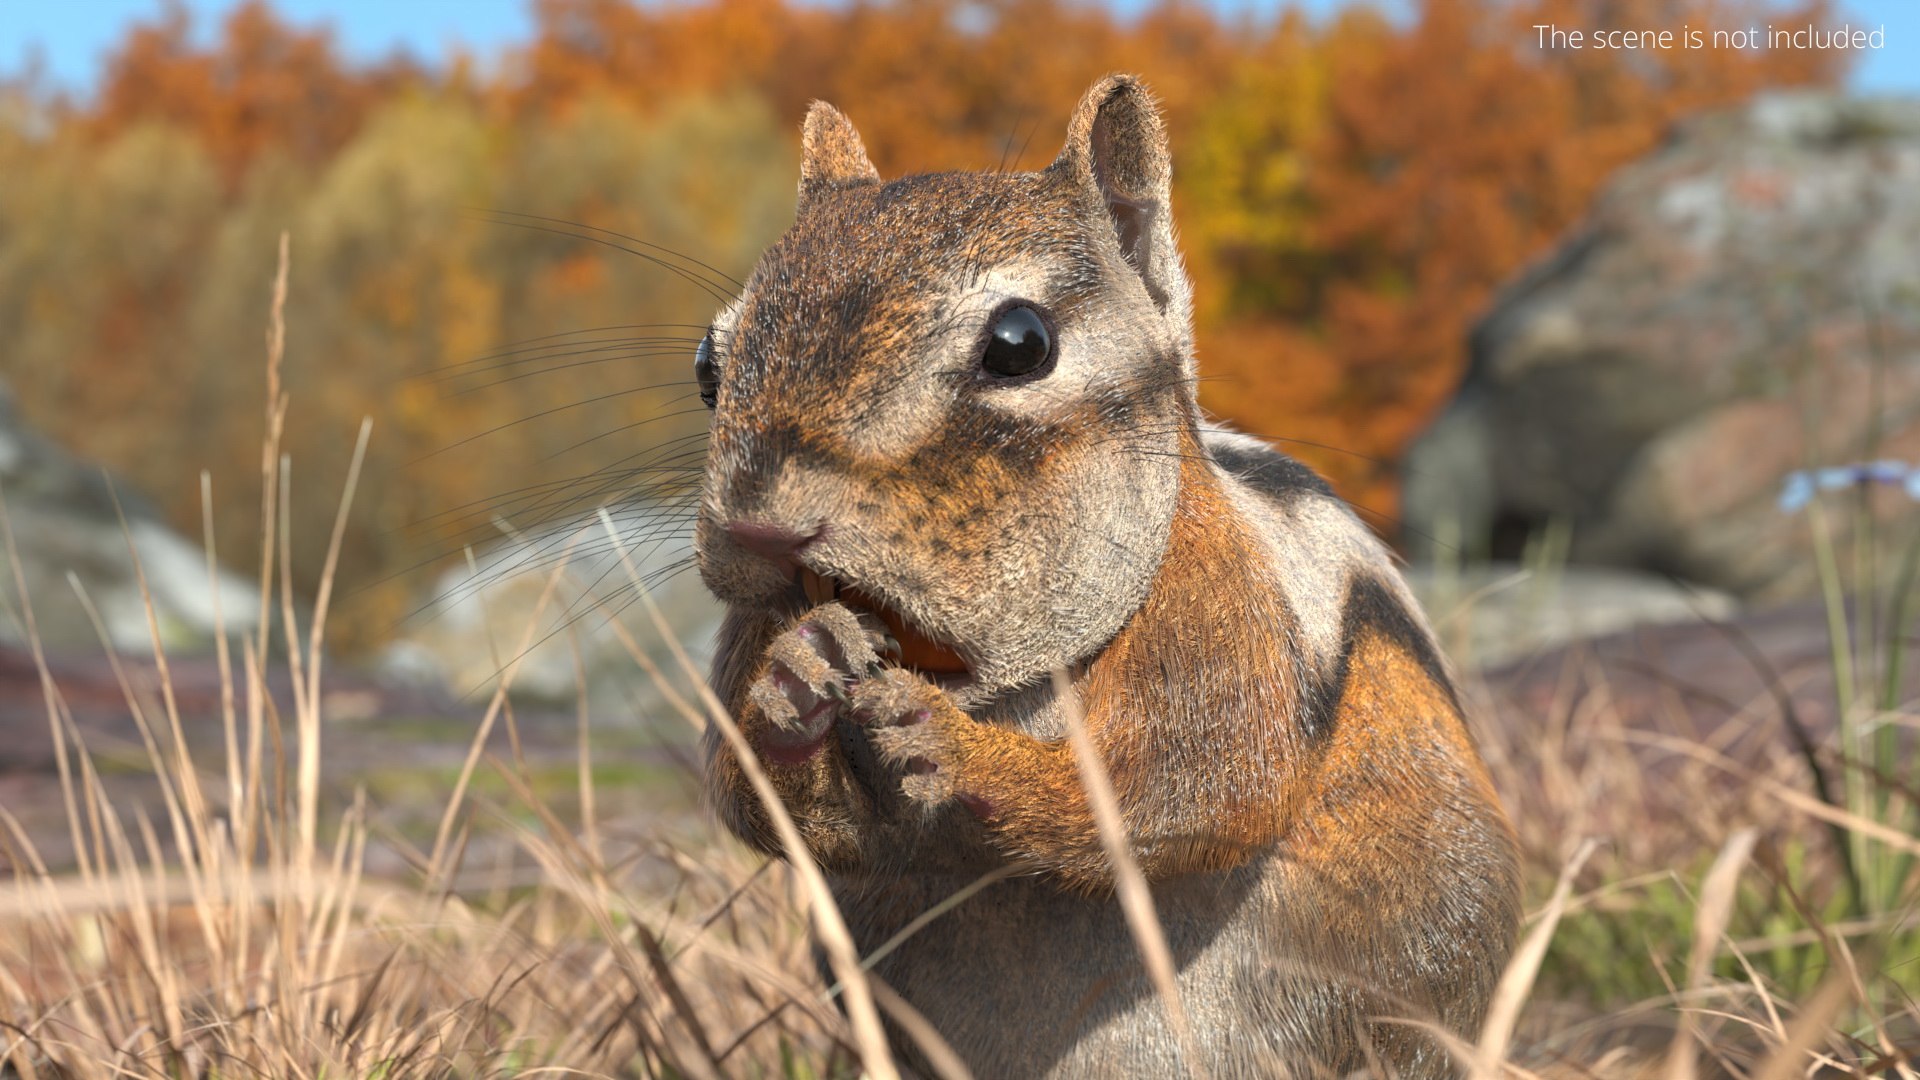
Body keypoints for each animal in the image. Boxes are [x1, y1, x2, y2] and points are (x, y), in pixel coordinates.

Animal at [694, 74, 1521, 1078]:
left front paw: (948, 746)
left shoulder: (1217, 602)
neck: (1005, 687)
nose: (760, 524)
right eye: (707, 365)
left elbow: (1194, 783)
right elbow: (770, 811)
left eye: (1020, 344)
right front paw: (795, 677)